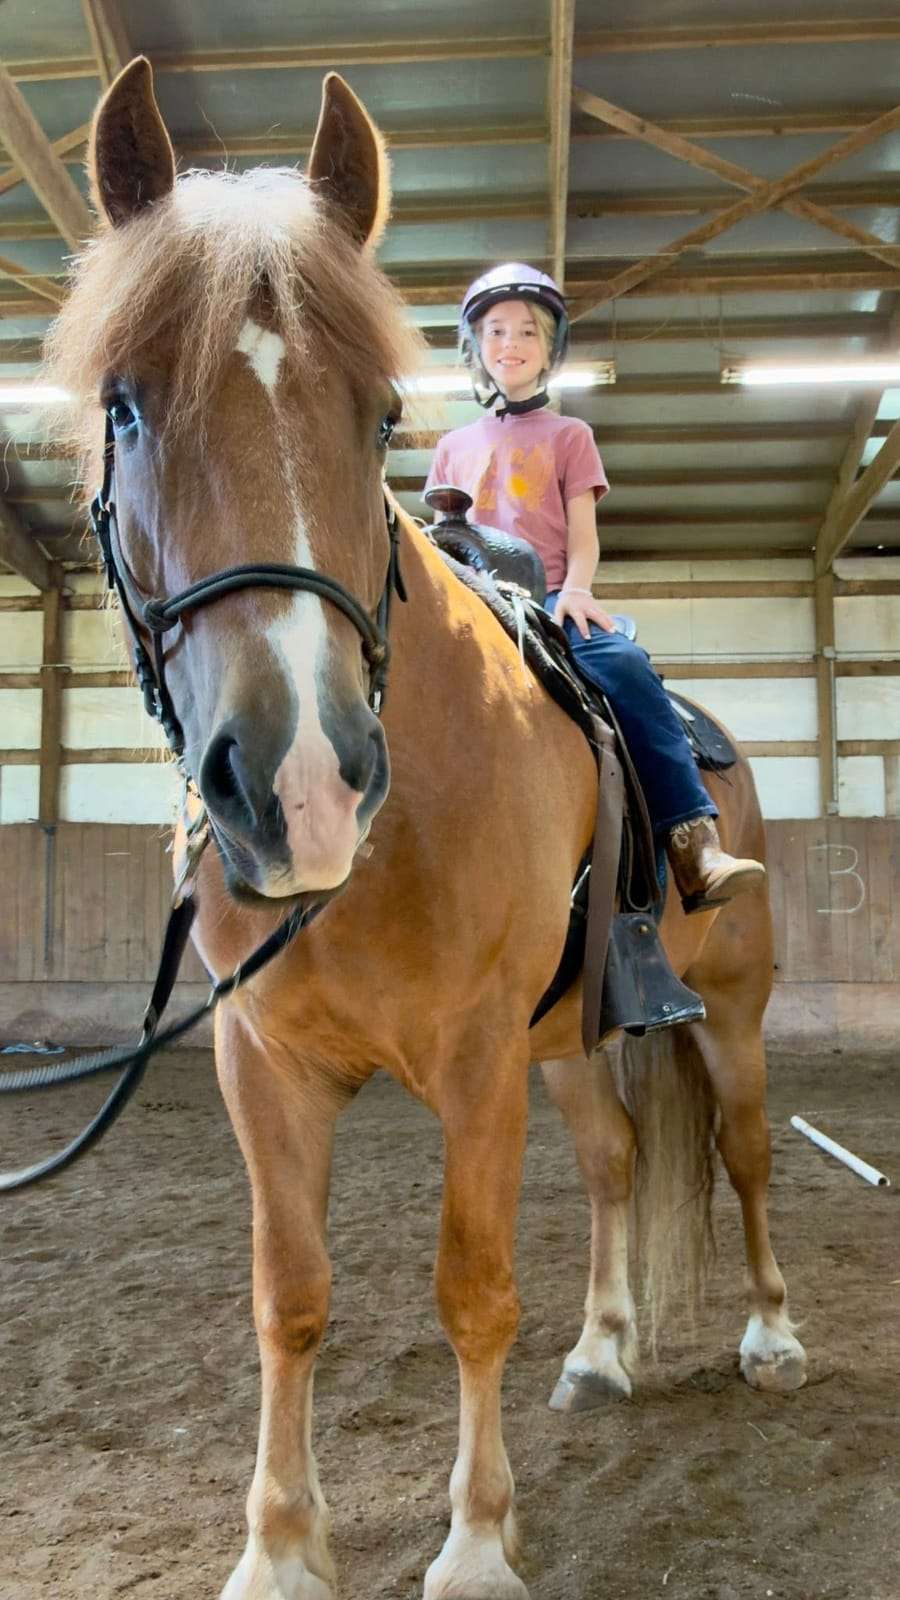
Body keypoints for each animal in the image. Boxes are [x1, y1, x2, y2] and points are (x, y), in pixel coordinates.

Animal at [44, 57, 807, 1600]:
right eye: (127, 407)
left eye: (382, 412)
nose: (301, 785)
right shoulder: (262, 1064)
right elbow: (287, 1298)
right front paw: (281, 1548)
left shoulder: (471, 1066)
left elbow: (472, 1291)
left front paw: (472, 1540)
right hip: (568, 1046)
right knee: (615, 1163)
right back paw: (601, 1353)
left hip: (731, 1012)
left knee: (750, 1156)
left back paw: (769, 1335)